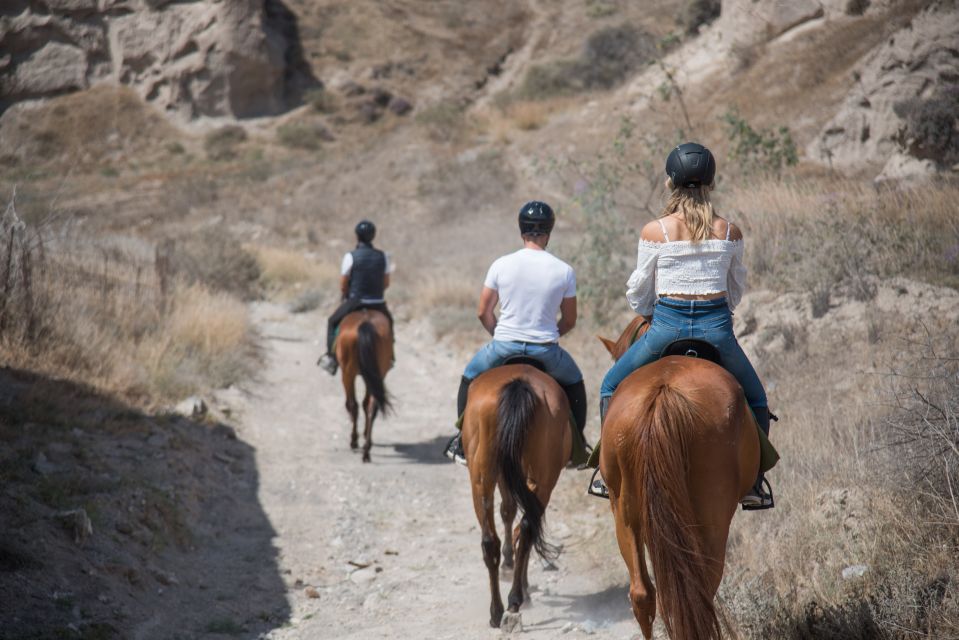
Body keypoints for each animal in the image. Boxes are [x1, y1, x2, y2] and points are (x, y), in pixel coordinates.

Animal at [338, 308, 394, 460]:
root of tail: (365, 324)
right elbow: (365, 404)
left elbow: (351, 404)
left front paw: (356, 439)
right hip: (377, 374)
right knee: (371, 407)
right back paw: (366, 450)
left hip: (348, 373)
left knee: (353, 405)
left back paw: (354, 441)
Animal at [464, 364, 572, 632]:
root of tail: (518, 384)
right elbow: (511, 512)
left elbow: (508, 512)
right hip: (542, 476)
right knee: (524, 528)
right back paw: (512, 602)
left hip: (483, 475)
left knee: (493, 538)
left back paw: (501, 609)